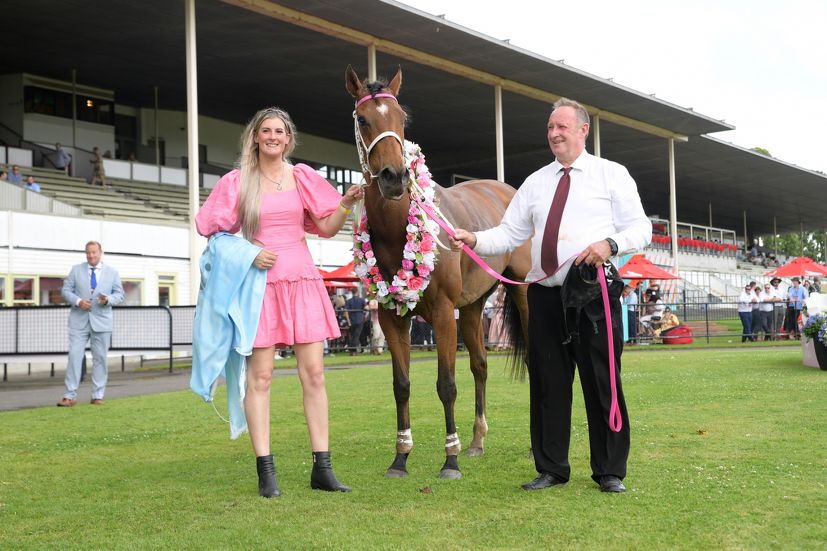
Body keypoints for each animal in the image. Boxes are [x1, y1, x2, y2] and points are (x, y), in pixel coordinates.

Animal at [348, 66, 532, 478]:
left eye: (402, 119)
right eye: (363, 119)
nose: (395, 176)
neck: (396, 231)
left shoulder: (445, 313)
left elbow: (446, 384)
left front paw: (450, 459)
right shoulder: (391, 316)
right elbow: (401, 384)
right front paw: (400, 457)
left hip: (523, 289)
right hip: (475, 306)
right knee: (480, 365)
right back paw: (478, 440)